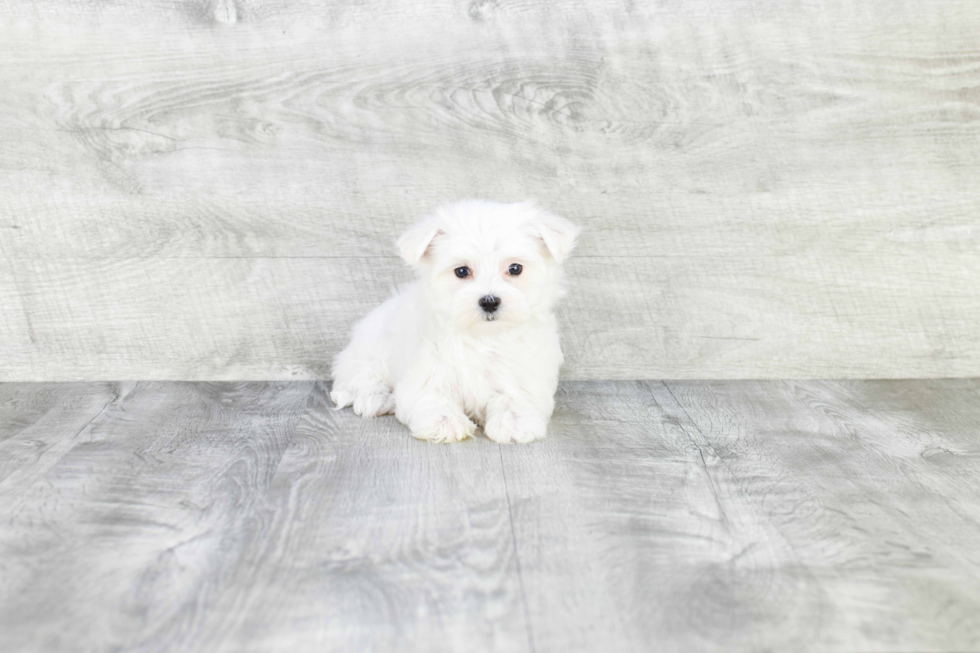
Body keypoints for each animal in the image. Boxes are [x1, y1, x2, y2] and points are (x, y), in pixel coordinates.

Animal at [330, 199, 580, 444]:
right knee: (359, 377)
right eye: (461, 271)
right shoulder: (428, 369)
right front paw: (445, 422)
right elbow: (433, 396)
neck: (481, 336)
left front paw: (514, 422)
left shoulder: (522, 370)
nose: (489, 301)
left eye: (515, 268)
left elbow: (513, 395)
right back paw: (377, 399)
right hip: (369, 350)